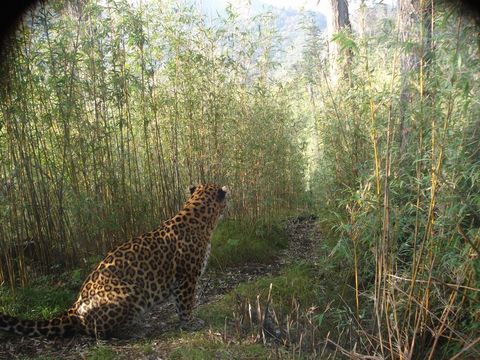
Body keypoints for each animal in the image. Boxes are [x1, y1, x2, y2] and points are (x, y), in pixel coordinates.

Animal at [0, 184, 229, 338]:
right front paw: (190, 323)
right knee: (95, 332)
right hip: (132, 292)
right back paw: (135, 330)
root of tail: (73, 308)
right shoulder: (187, 278)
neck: (201, 217)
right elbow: (185, 304)